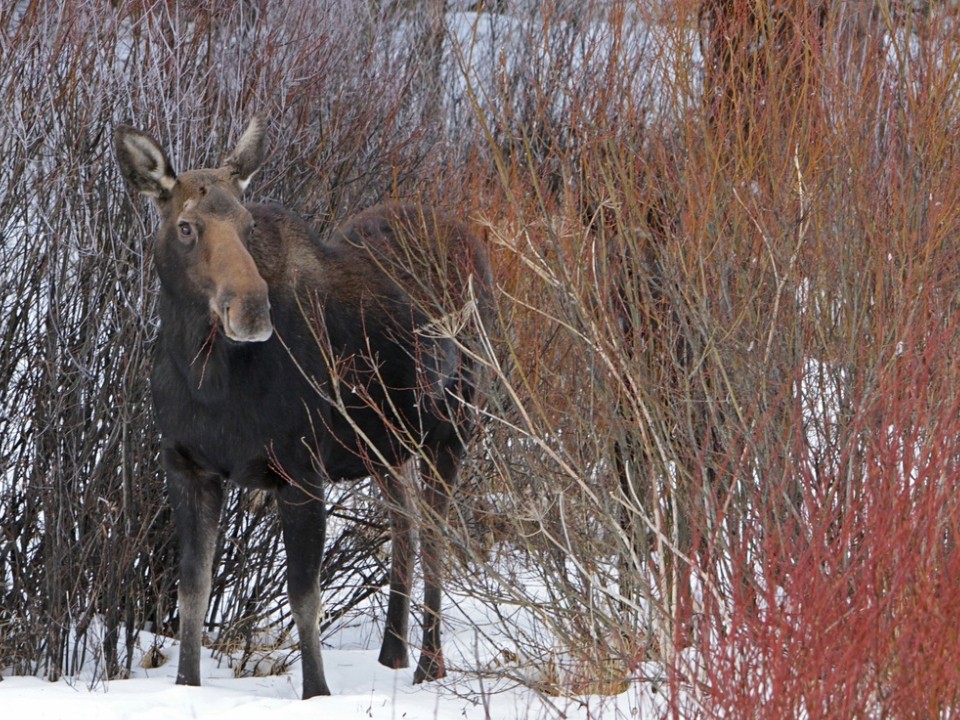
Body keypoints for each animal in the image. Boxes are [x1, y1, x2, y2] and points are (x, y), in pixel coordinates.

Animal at [118, 118, 496, 696]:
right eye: (186, 226)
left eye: (249, 224)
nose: (251, 309)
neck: (208, 378)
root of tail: (469, 238)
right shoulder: (187, 465)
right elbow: (193, 592)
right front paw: (186, 685)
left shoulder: (300, 469)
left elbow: (304, 598)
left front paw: (317, 693)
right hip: (386, 446)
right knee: (405, 527)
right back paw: (392, 652)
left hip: (452, 428)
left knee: (435, 536)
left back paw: (429, 664)